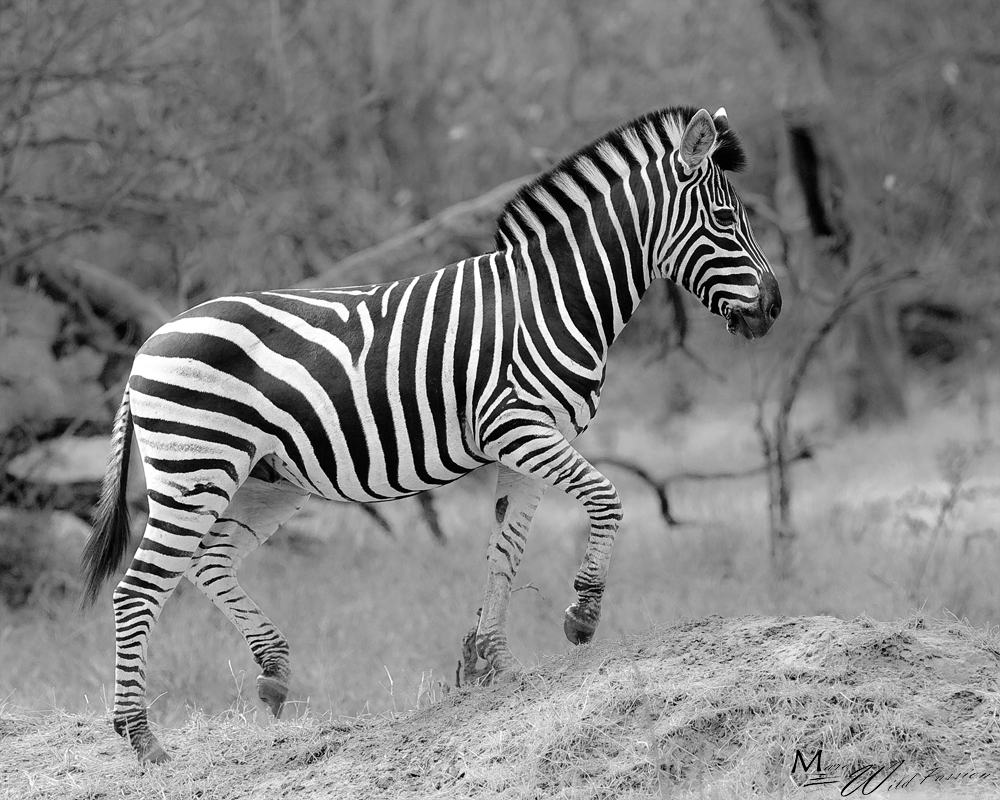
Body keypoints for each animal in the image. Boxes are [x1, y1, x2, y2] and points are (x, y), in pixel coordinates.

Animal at [82, 106, 780, 764]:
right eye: (726, 220)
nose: (774, 308)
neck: (555, 298)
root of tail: (148, 344)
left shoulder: (524, 446)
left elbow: (504, 550)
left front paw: (491, 664)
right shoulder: (517, 426)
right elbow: (606, 499)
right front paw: (582, 616)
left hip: (265, 478)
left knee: (210, 559)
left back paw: (272, 672)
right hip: (196, 469)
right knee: (138, 590)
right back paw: (142, 740)